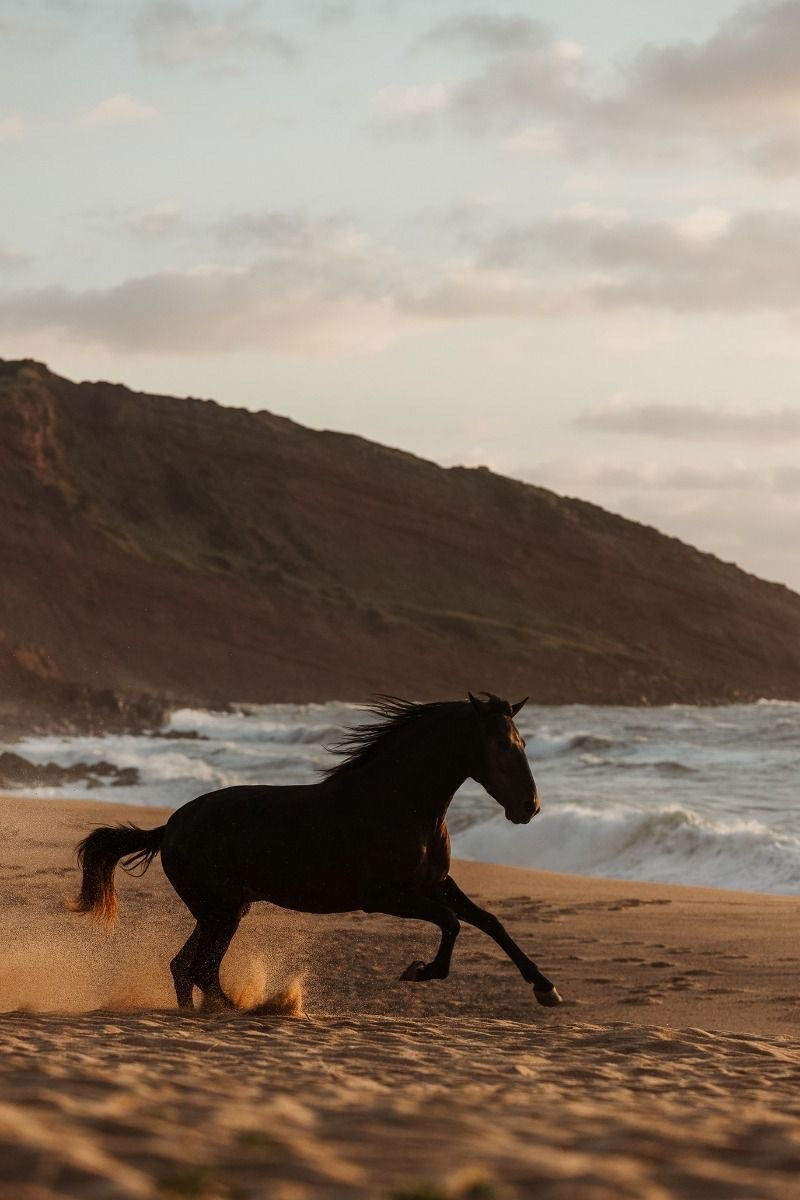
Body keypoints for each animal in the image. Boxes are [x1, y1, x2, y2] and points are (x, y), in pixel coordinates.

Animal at [68, 692, 563, 1009]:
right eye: (500, 744)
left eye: (522, 743)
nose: (530, 807)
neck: (398, 805)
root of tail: (169, 826)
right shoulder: (384, 897)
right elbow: (453, 922)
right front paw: (419, 970)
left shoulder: (436, 883)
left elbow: (489, 921)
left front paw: (546, 988)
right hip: (220, 910)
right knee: (200, 968)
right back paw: (245, 1009)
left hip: (225, 910)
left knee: (185, 967)